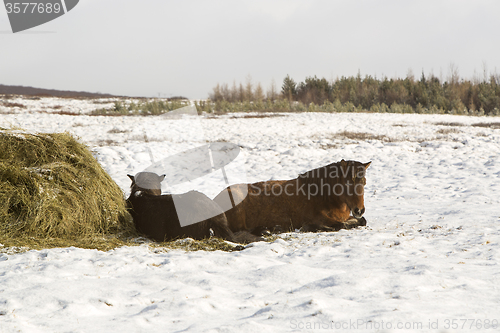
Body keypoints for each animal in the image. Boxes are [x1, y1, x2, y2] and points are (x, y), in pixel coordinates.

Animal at [214, 160, 372, 235]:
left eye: (364, 182)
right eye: (348, 182)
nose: (359, 210)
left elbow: (361, 221)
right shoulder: (320, 218)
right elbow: (339, 225)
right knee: (241, 230)